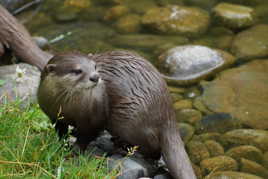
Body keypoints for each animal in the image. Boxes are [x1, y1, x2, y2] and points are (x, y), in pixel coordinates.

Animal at [37, 50, 197, 179]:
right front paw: (60, 144)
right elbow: (60, 131)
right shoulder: (54, 116)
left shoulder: (94, 117)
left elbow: (88, 134)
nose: (95, 77)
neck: (66, 107)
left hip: (130, 118)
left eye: (95, 66)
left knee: (154, 149)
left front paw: (75, 150)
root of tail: (168, 114)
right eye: (77, 71)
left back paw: (127, 148)